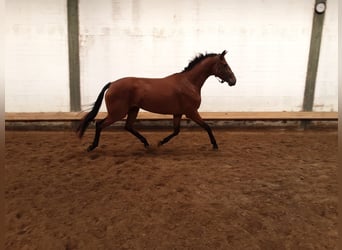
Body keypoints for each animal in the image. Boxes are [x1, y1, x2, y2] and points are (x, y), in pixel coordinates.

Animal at [76, 50, 236, 151]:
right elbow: (207, 126)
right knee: (99, 124)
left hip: (133, 109)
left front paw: (161, 142)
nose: (233, 81)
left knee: (128, 127)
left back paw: (146, 143)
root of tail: (112, 83)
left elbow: (176, 131)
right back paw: (92, 146)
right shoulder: (191, 112)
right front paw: (215, 145)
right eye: (225, 65)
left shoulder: (178, 113)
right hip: (118, 113)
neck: (189, 83)